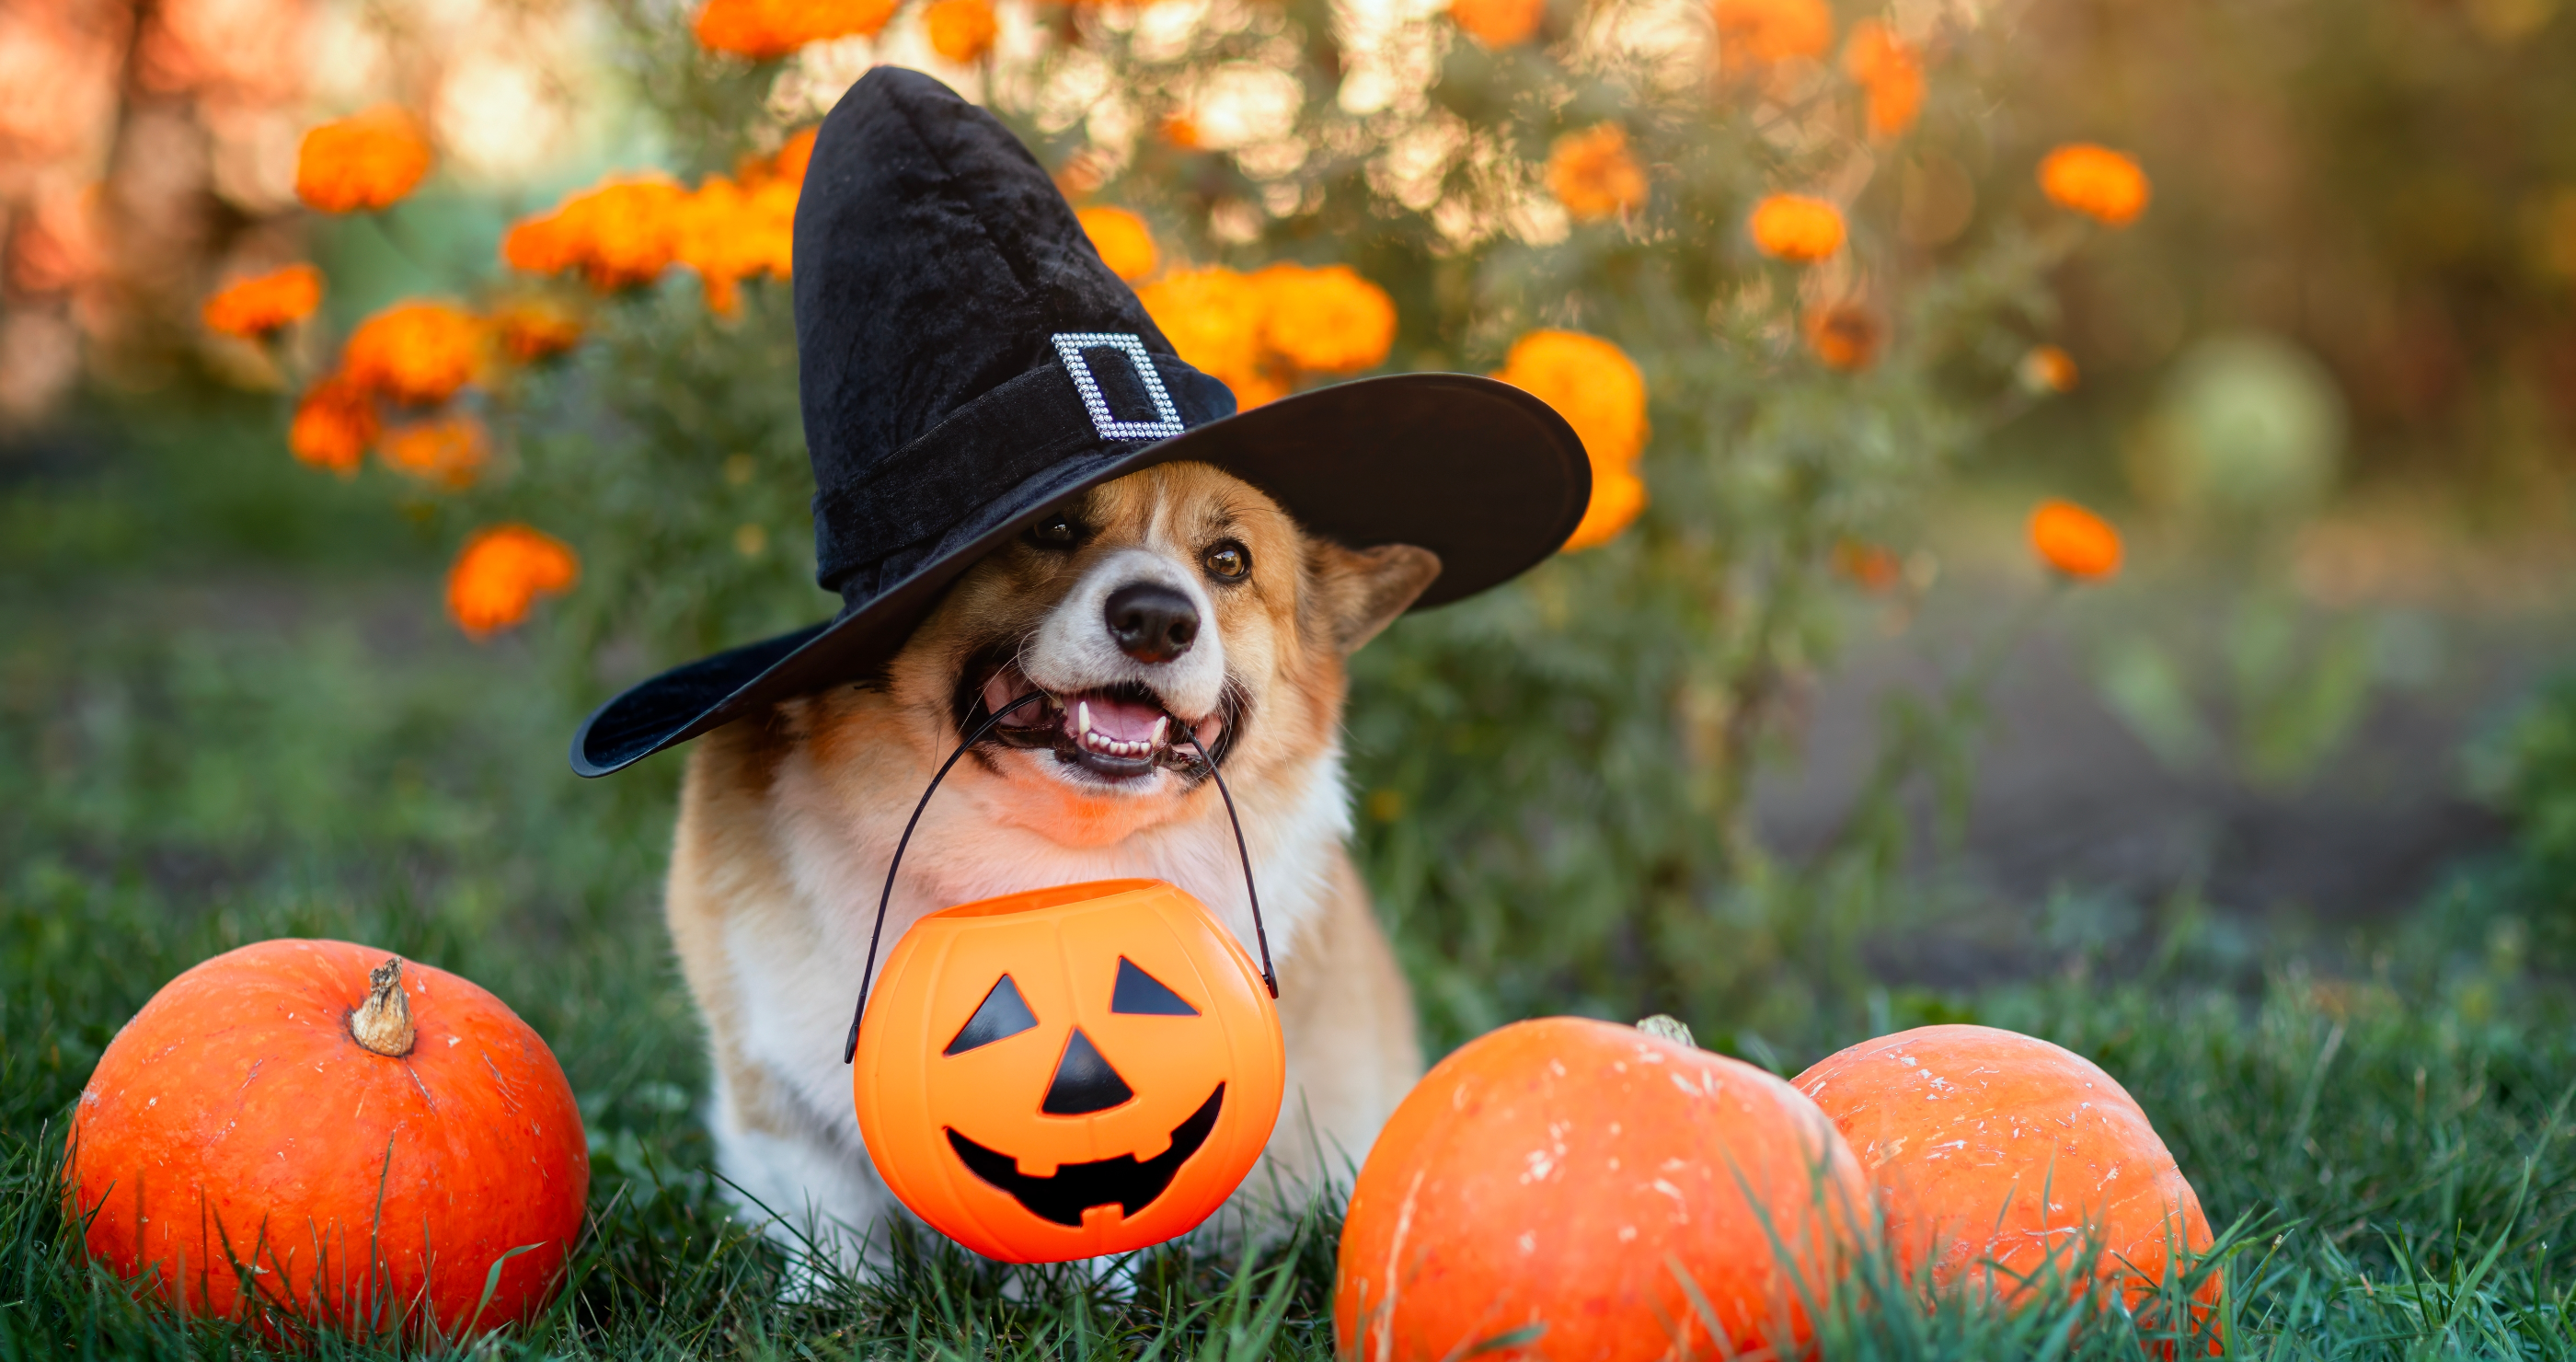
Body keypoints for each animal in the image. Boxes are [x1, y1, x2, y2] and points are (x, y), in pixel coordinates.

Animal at [659, 457, 1432, 1261]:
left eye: (1228, 561)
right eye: (1052, 525)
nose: (1157, 621)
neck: (1049, 856)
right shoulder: (773, 1091)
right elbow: (833, 1226)